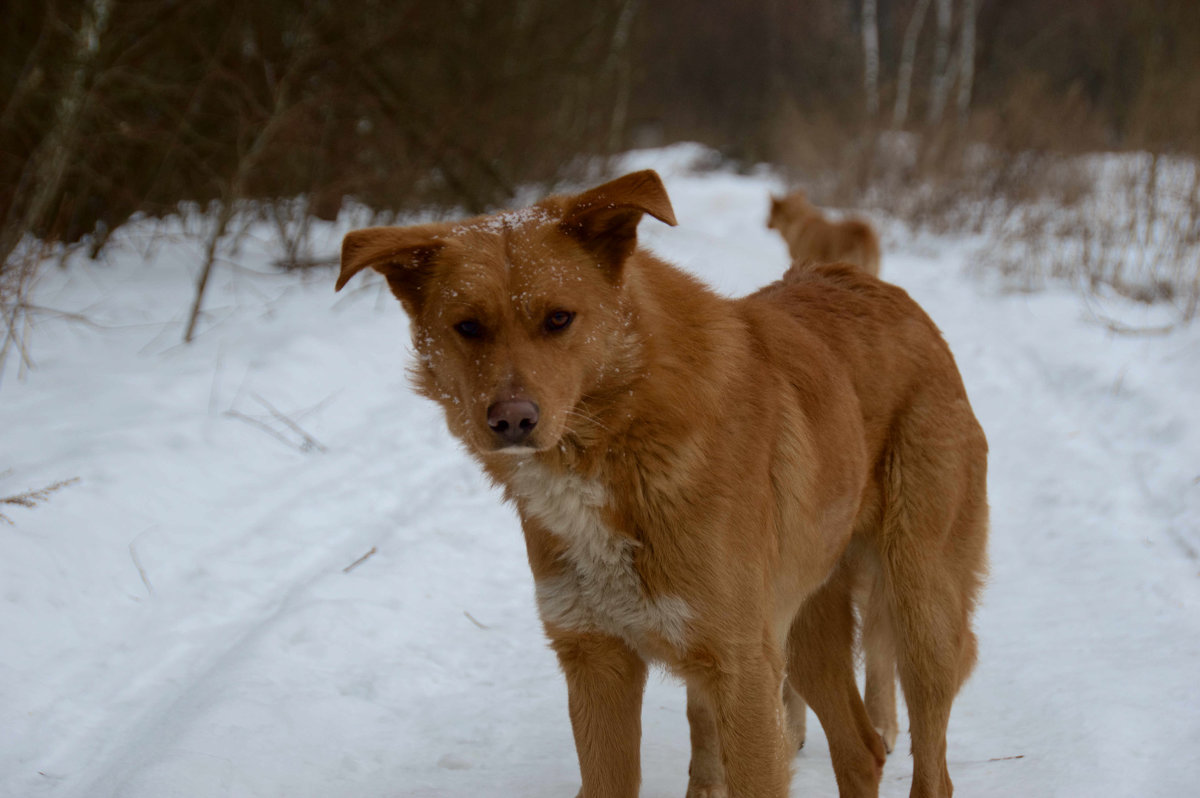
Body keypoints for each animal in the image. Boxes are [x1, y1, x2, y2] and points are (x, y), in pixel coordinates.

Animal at [336, 169, 984, 796]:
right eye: (467, 326)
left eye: (558, 319)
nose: (512, 420)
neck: (616, 446)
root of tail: (882, 290)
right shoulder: (596, 662)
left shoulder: (740, 669)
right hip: (806, 627)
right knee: (860, 752)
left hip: (919, 607)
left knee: (932, 766)